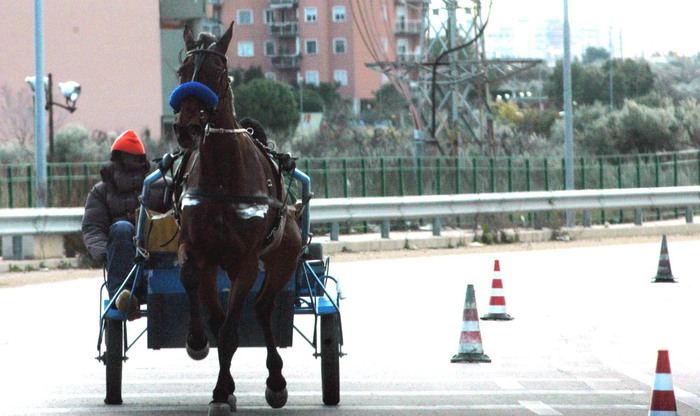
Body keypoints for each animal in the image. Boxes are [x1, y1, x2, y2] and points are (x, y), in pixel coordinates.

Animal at [170, 23, 304, 416]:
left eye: (215, 73)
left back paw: (276, 381)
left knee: (262, 307)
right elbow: (193, 284)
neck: (222, 178)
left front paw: (221, 391)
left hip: (284, 257)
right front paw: (198, 342)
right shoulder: (199, 250)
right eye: (183, 72)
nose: (186, 128)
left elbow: (231, 332)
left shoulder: (245, 260)